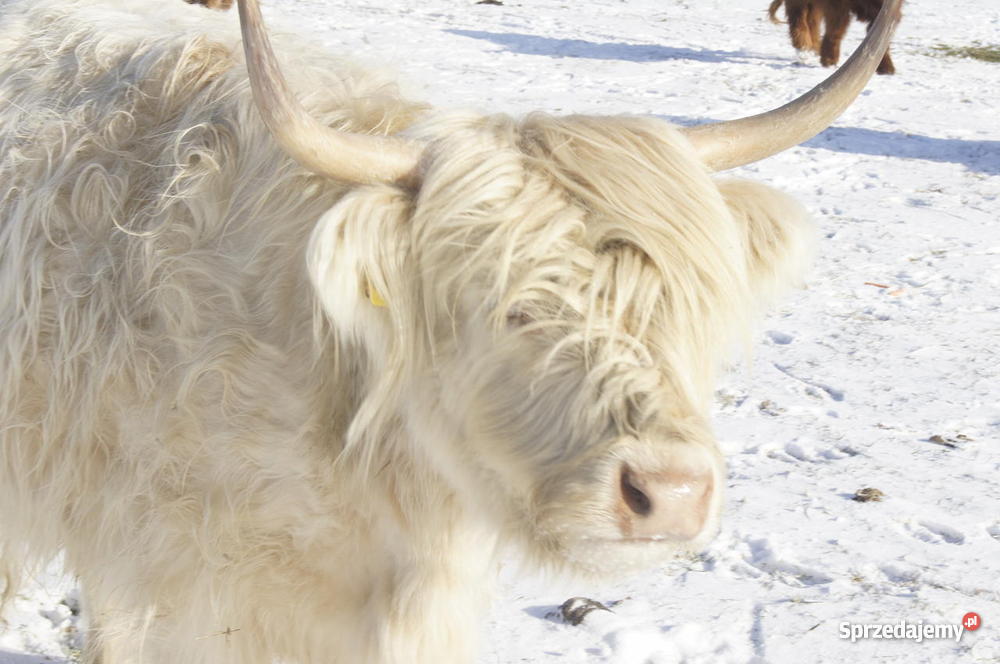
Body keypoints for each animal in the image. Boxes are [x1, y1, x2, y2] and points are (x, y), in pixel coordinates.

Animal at [768, 0, 898, 74]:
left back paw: (815, 47)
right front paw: (829, 60)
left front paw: (886, 67)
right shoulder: (837, 6)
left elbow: (880, 30)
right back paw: (804, 46)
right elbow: (835, 29)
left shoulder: (879, 9)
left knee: (812, 22)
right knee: (798, 20)